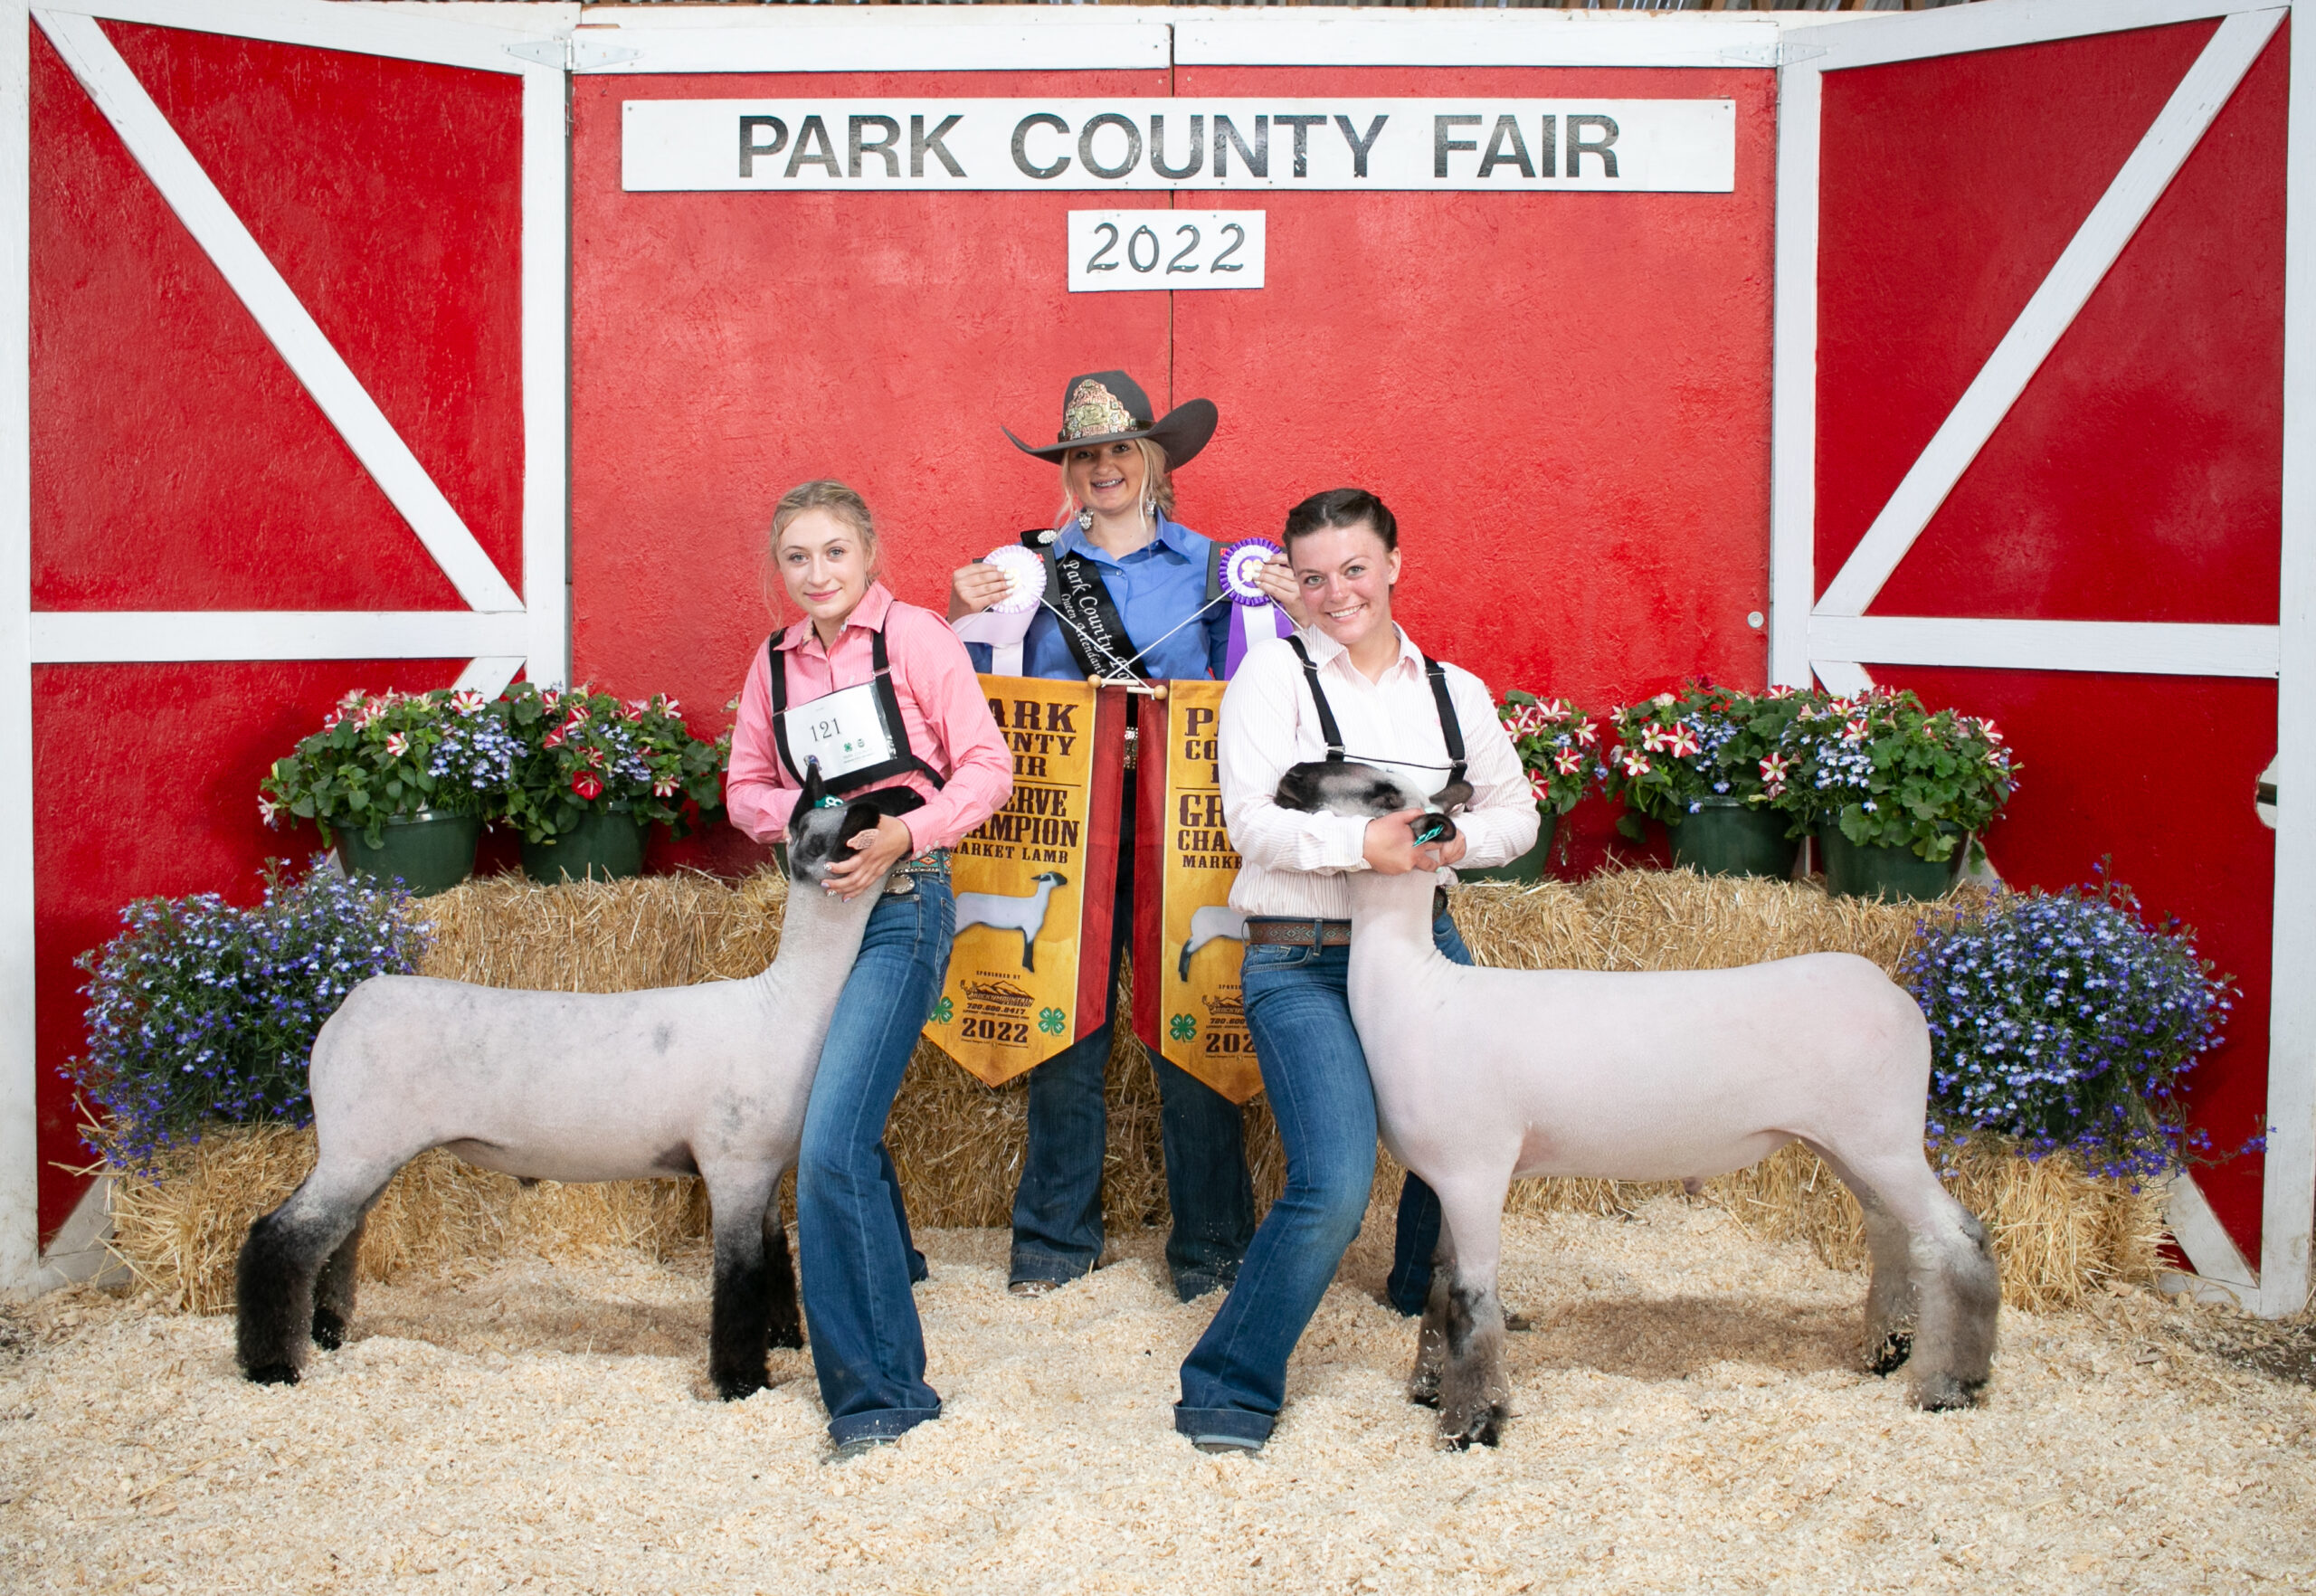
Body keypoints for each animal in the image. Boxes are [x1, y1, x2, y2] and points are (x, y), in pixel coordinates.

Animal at [233, 764, 903, 1399]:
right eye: (844, 831)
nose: (898, 812)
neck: (785, 1006)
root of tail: (346, 1010)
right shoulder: (734, 1166)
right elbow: (739, 1280)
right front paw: (742, 1381)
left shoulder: (764, 1172)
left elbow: (775, 1260)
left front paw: (785, 1338)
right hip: (356, 1147)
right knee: (278, 1239)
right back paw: (272, 1366)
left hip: (368, 1152)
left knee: (339, 1239)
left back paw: (328, 1332)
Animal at [1278, 759, 2000, 1445]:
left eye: (1382, 792)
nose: (1292, 776)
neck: (1419, 991)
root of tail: (1893, 990)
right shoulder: (1450, 1179)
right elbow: (1437, 1289)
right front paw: (1430, 1390)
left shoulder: (1474, 1172)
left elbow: (1471, 1299)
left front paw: (1473, 1425)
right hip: (1849, 1141)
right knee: (1894, 1234)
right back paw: (1888, 1351)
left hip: (1884, 1138)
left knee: (1956, 1238)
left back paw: (1951, 1385)